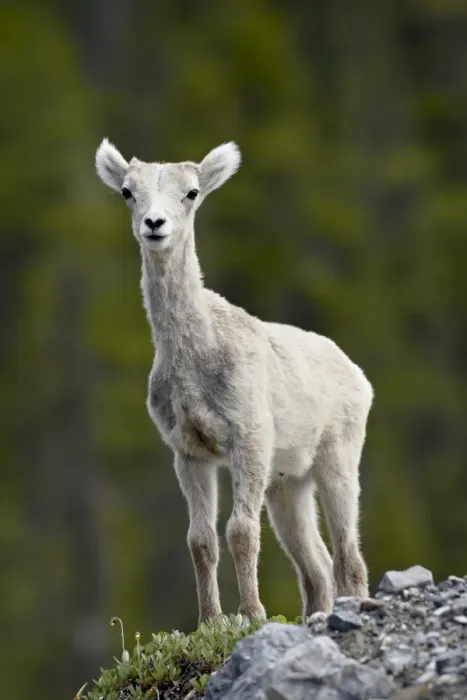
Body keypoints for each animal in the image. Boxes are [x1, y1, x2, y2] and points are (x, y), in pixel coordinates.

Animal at [95, 138, 373, 624]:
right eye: (128, 192)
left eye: (191, 193)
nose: (155, 224)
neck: (197, 360)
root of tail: (360, 378)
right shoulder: (189, 452)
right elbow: (201, 540)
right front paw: (210, 620)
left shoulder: (249, 440)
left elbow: (240, 531)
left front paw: (253, 614)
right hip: (287, 484)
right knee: (316, 565)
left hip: (337, 459)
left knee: (347, 558)